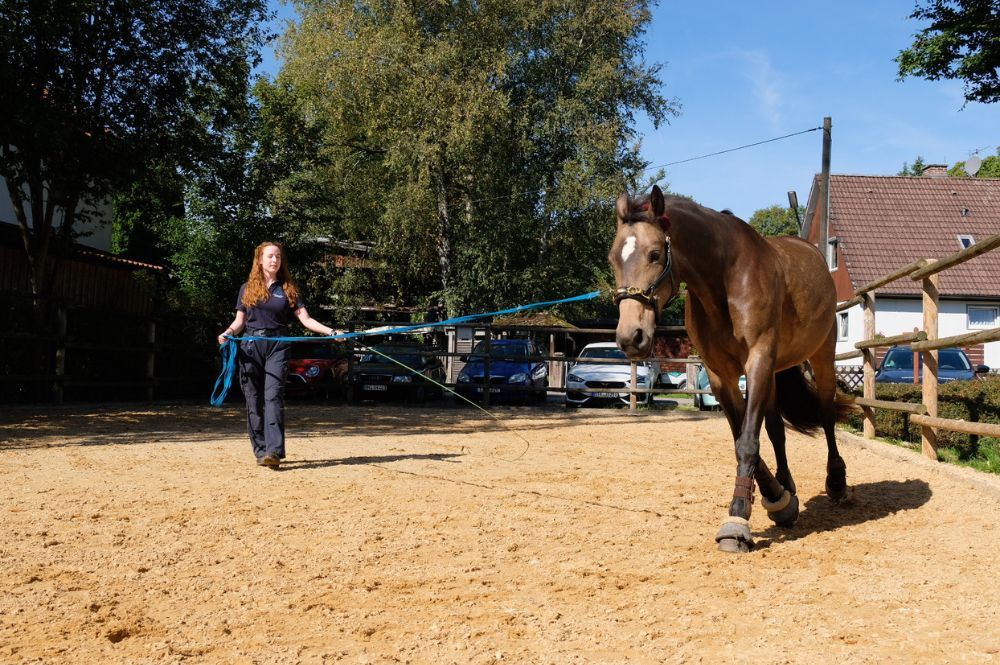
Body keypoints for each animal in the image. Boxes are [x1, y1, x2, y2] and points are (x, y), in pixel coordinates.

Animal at [604, 184, 856, 552]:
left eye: (654, 254)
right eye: (613, 258)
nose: (630, 337)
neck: (725, 283)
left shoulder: (758, 361)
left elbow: (748, 441)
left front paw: (737, 519)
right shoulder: (720, 375)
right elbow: (743, 436)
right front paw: (777, 500)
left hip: (822, 356)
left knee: (825, 413)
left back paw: (836, 482)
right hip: (776, 372)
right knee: (777, 430)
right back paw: (787, 486)